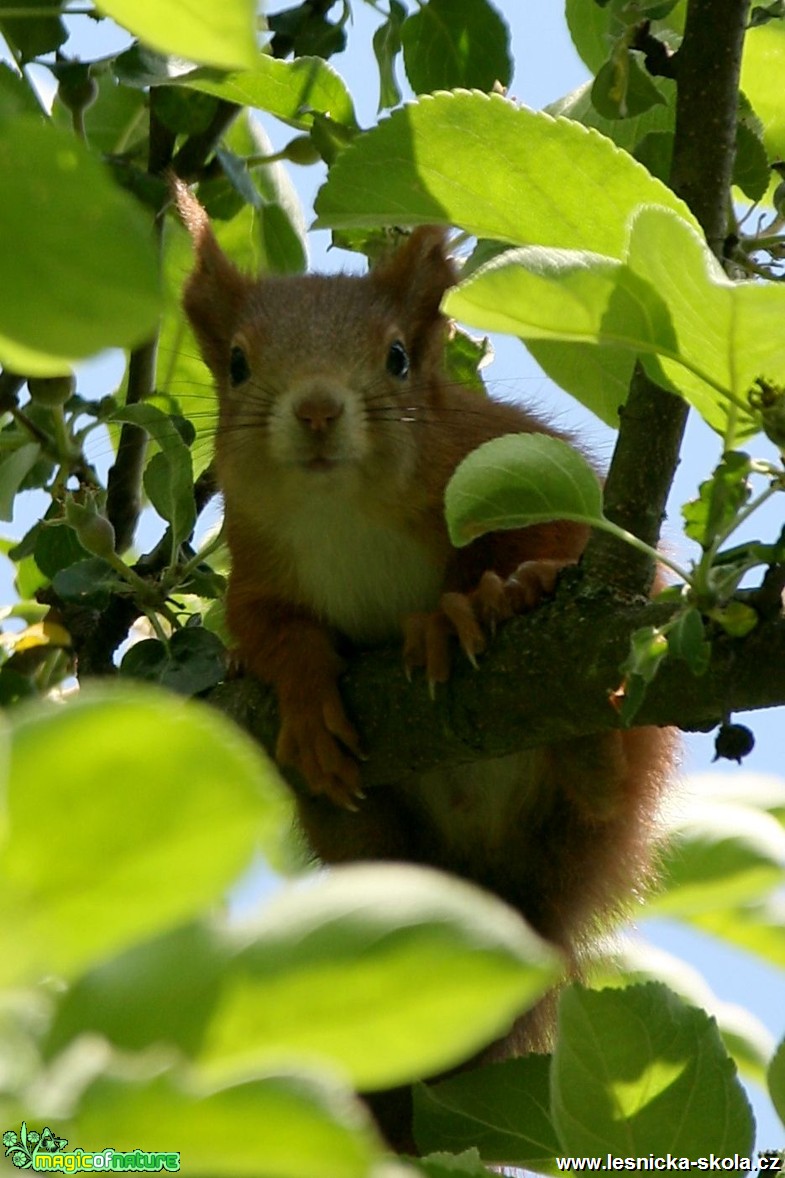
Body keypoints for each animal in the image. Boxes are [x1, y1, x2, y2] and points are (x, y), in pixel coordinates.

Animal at [175, 181, 674, 1149]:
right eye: (239, 365)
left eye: (399, 359)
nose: (318, 410)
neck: (339, 513)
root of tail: (510, 899)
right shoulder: (256, 579)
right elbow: (274, 637)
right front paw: (302, 697)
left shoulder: (488, 453)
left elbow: (548, 534)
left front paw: (474, 603)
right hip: (366, 842)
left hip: (618, 769)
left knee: (600, 793)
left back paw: (577, 735)